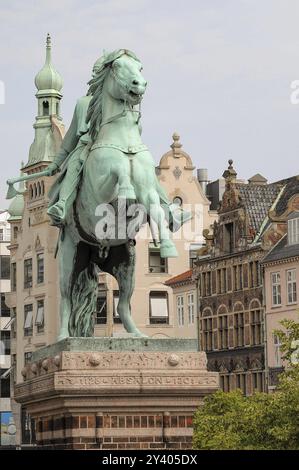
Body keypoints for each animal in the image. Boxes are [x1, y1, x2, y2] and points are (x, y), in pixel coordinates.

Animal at [58, 49, 180, 340]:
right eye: (116, 67)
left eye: (140, 67)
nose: (140, 84)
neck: (124, 140)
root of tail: (98, 254)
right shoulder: (102, 190)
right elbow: (118, 173)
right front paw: (125, 188)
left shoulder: (148, 189)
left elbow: (155, 207)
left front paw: (167, 245)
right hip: (70, 260)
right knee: (66, 300)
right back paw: (63, 337)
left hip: (126, 266)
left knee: (123, 304)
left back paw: (137, 335)